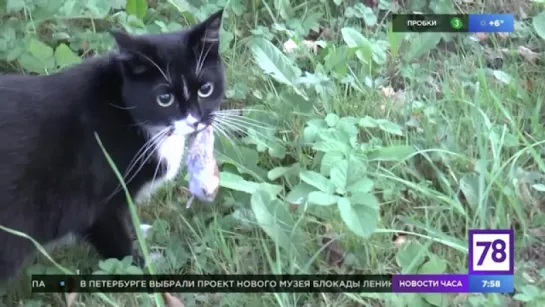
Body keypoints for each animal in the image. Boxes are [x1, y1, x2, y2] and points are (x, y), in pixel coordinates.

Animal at [0, 9, 225, 282]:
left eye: (206, 89)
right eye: (164, 98)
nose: (195, 121)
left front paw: (141, 233)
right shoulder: (98, 200)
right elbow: (116, 242)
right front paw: (143, 266)